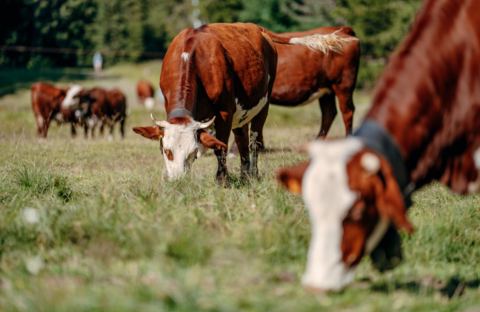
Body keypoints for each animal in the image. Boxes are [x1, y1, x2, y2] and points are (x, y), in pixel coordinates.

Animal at [131, 22, 348, 183]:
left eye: (193, 153)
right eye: (166, 151)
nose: (178, 181)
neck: (191, 57)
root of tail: (257, 28)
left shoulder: (224, 112)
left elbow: (220, 147)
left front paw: (222, 179)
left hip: (264, 105)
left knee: (254, 140)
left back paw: (253, 173)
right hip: (242, 112)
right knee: (243, 138)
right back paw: (244, 175)